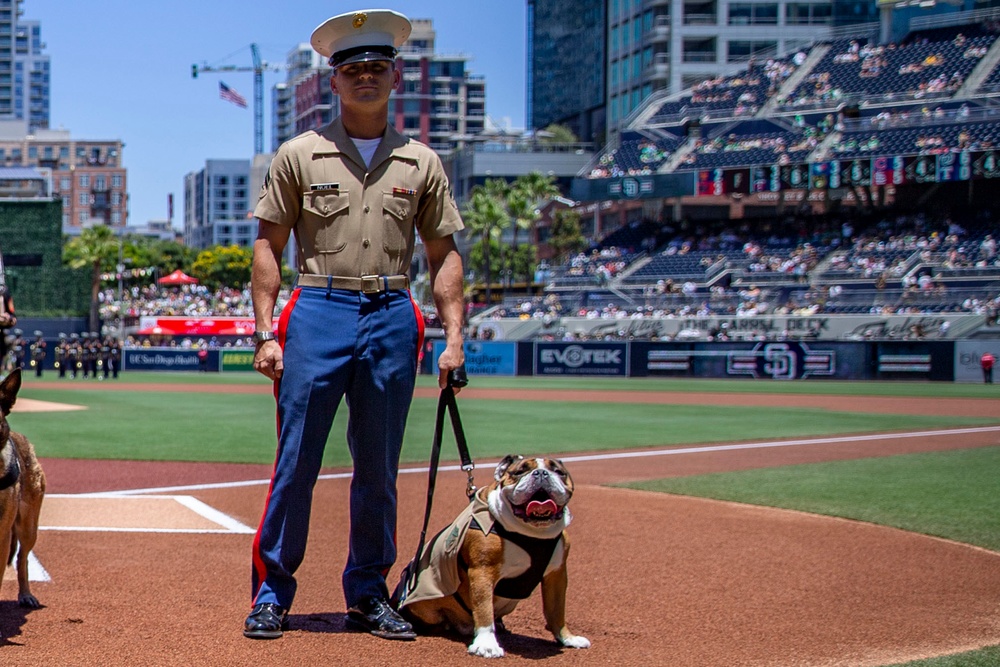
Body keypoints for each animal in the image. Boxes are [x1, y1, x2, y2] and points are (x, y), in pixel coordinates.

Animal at [396, 456, 584, 660]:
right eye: (519, 472)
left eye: (558, 472)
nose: (541, 473)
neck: (532, 533)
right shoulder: (482, 572)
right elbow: (484, 609)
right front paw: (486, 644)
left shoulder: (557, 575)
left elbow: (557, 611)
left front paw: (567, 637)